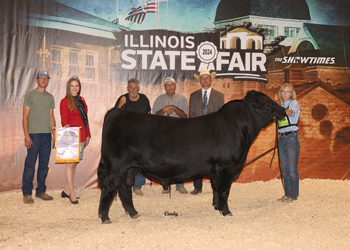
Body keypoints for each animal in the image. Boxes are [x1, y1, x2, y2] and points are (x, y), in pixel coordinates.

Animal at [97, 91, 286, 224]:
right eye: (268, 102)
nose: (284, 110)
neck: (239, 128)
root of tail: (116, 112)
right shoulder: (226, 168)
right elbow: (224, 190)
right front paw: (226, 212)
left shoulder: (217, 171)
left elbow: (216, 189)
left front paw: (217, 207)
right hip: (116, 166)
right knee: (110, 188)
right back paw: (105, 217)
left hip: (127, 169)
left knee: (124, 189)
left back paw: (134, 213)